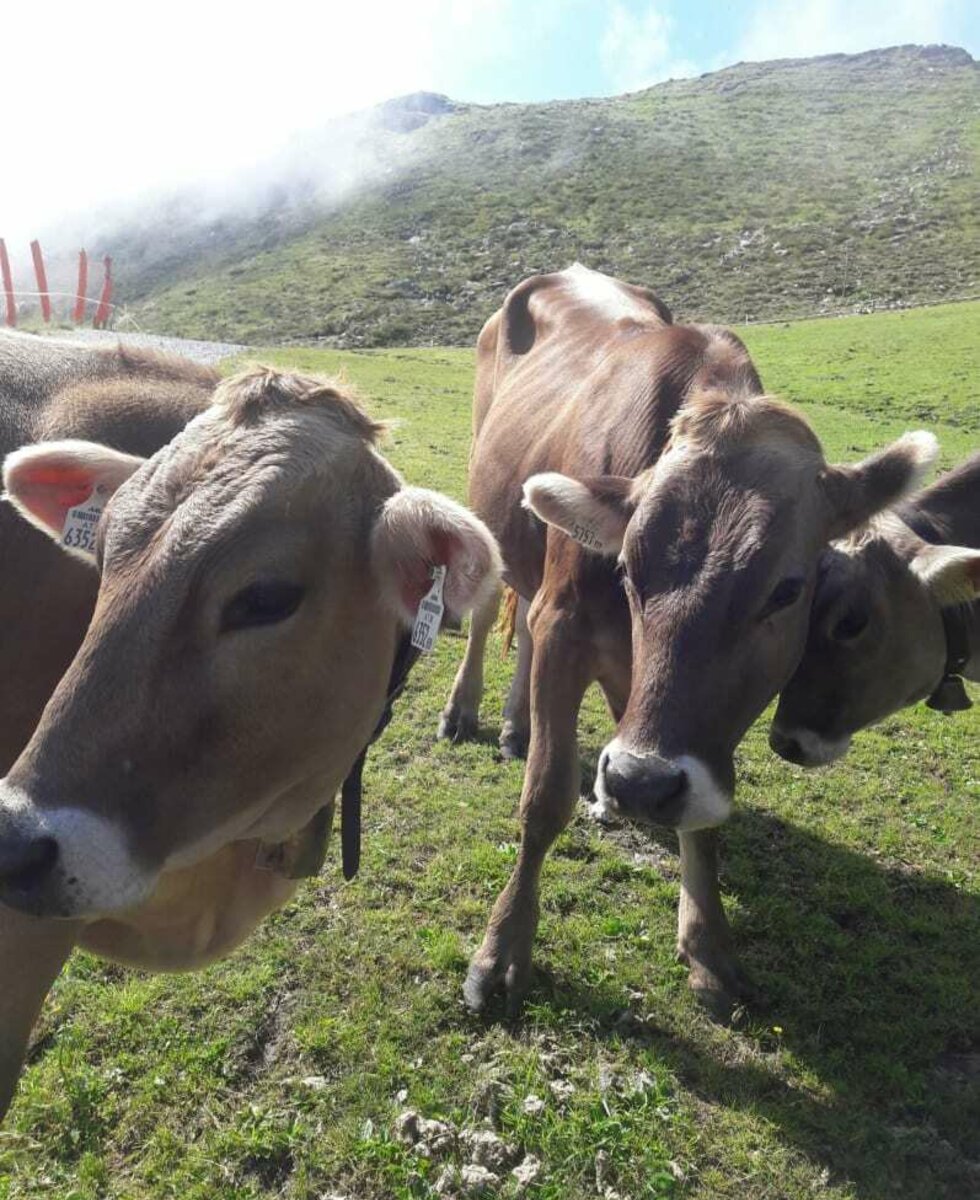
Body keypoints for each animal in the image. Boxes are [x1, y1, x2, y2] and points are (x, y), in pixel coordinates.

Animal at [446, 267, 940, 1017]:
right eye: (626, 567)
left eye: (787, 589)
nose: (636, 783)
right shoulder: (565, 625)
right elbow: (545, 797)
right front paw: (501, 952)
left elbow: (703, 810)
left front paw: (708, 947)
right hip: (491, 505)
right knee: (486, 612)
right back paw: (466, 711)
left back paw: (514, 725)